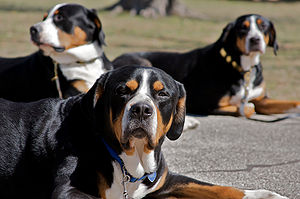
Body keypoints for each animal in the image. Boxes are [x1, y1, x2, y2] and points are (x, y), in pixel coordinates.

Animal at [0, 65, 288, 199]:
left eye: (162, 94)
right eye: (122, 90)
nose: (141, 109)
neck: (129, 161)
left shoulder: (165, 180)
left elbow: (217, 187)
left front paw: (265, 194)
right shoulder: (68, 189)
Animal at [113, 14, 300, 118]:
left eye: (263, 26)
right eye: (243, 28)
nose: (255, 39)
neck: (243, 68)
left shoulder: (263, 100)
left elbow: (291, 102)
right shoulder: (205, 105)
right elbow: (247, 109)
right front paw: (247, 108)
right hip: (143, 62)